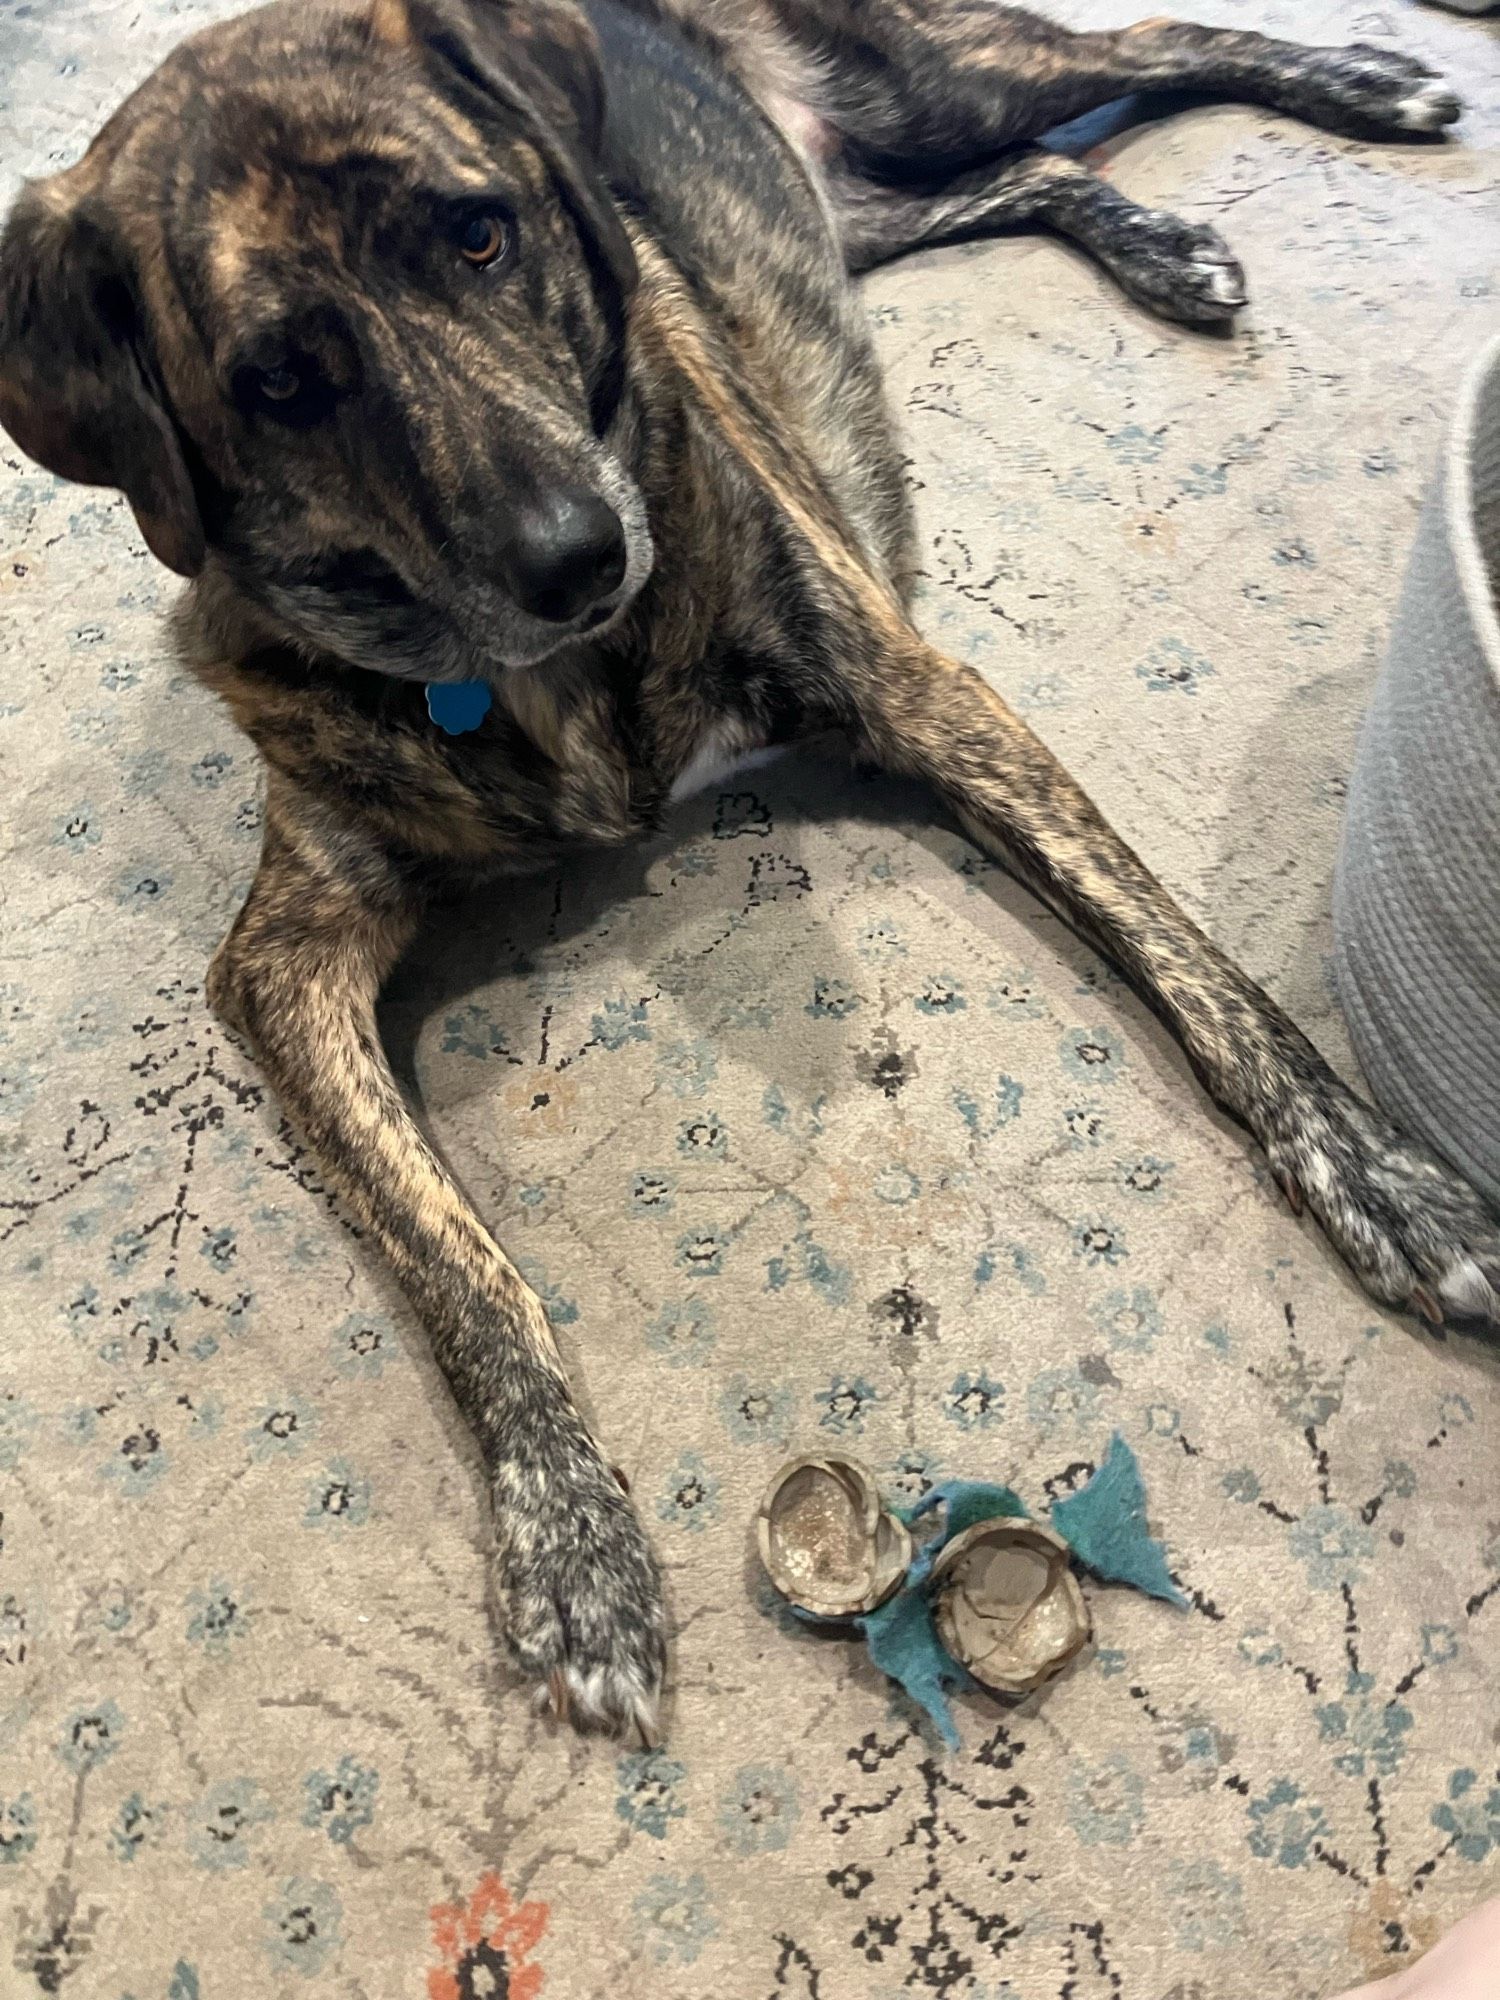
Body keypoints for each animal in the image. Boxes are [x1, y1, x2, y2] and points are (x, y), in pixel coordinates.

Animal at [0, 0, 1496, 1736]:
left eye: (481, 233)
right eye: (282, 379)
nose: (580, 558)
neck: (536, 676)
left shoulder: (916, 689)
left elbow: (1185, 956)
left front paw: (1383, 1178)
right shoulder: (287, 954)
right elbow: (454, 1264)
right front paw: (574, 1546)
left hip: (934, 80)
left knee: (1138, 52)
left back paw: (1363, 91)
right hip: (847, 206)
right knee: (1013, 180)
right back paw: (1158, 238)